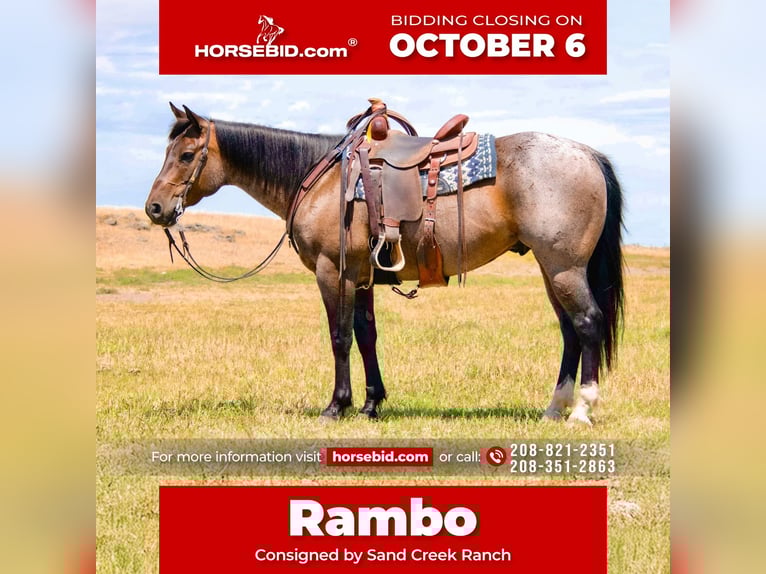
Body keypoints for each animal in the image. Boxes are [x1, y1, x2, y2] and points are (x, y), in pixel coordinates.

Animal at [145, 102, 625, 425]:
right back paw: (554, 408)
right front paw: (372, 403)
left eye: (186, 155)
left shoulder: (332, 272)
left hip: (563, 266)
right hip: (551, 268)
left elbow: (340, 337)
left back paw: (582, 410)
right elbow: (366, 335)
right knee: (568, 331)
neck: (322, 179)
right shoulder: (361, 276)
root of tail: (587, 153)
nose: (155, 208)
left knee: (586, 324)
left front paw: (336, 405)